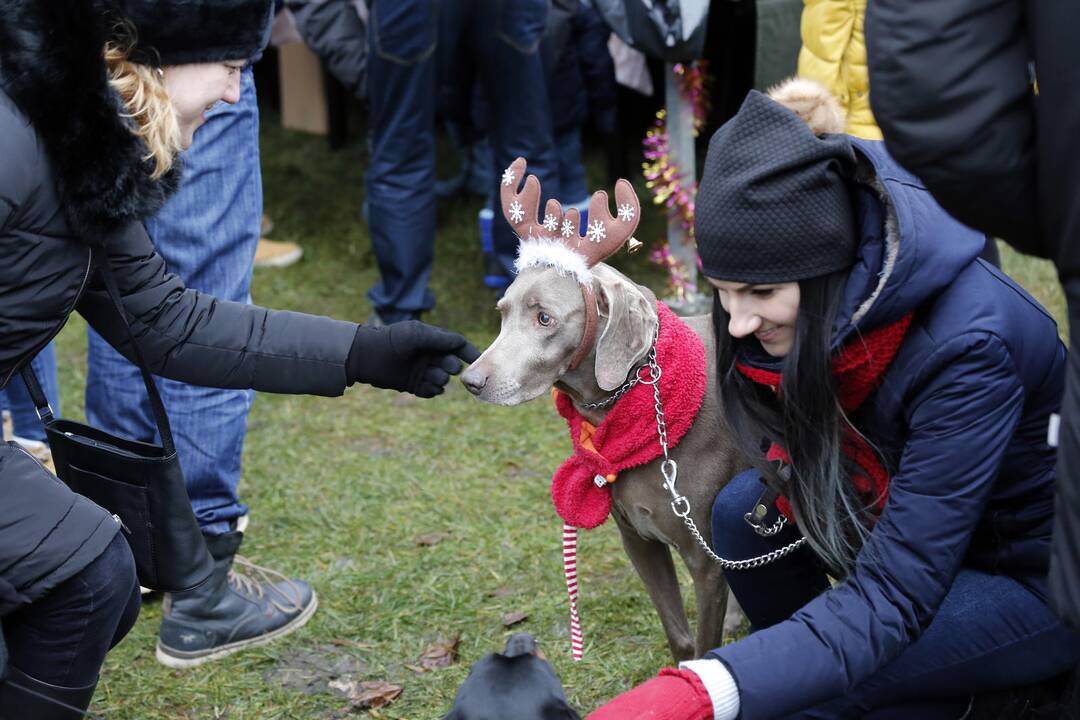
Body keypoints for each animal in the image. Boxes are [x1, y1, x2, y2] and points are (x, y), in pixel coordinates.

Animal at [460, 260, 747, 664]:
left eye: (544, 318)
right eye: (502, 313)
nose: (470, 380)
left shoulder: (703, 561)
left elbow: (705, 648)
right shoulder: (639, 540)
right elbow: (679, 637)